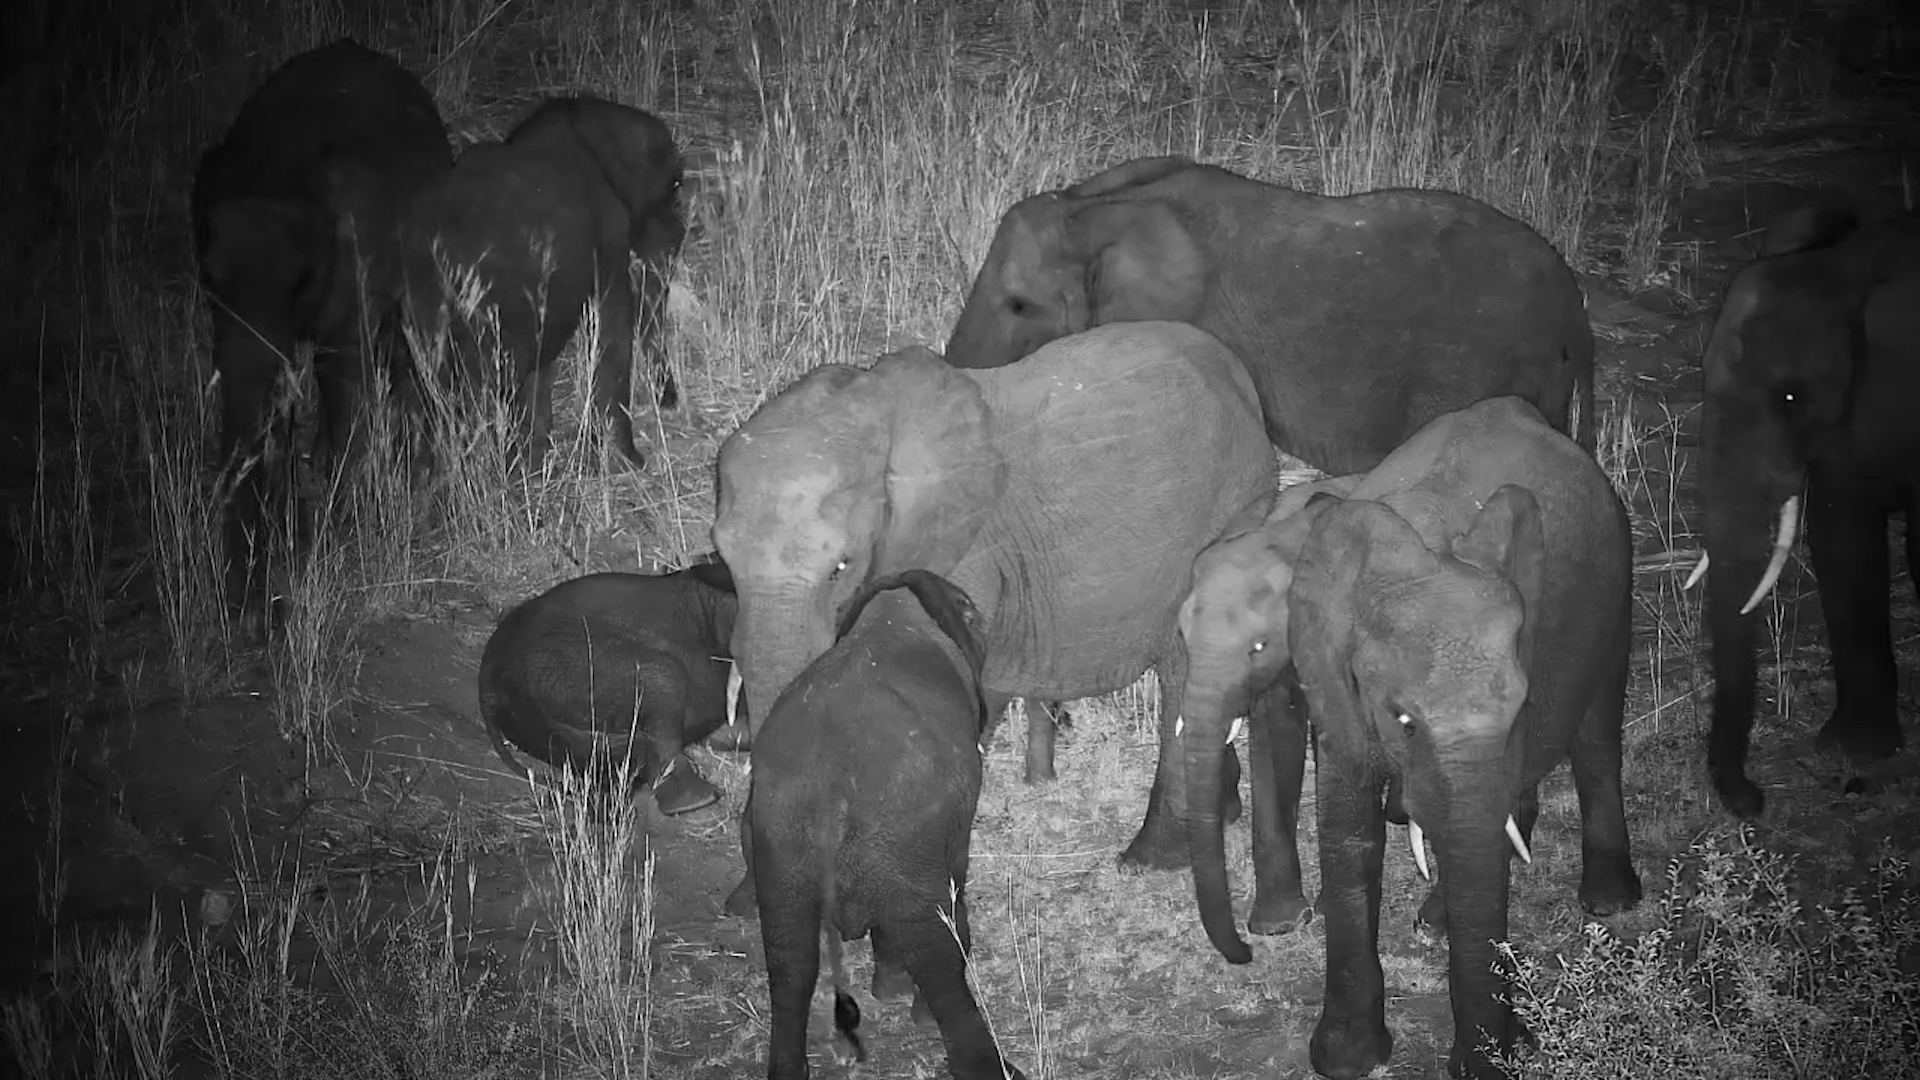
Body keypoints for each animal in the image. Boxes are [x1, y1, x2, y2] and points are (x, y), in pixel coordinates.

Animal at [192, 38, 453, 616]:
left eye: (300, 281)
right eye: (209, 279)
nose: (258, 613)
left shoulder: (360, 260)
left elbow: (346, 376)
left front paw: (328, 531)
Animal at [401, 96, 683, 470]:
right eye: (674, 187)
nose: (678, 229)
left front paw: (537, 454)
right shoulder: (609, 240)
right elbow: (612, 336)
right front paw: (627, 458)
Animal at [713, 320, 1276, 909]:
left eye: (840, 567)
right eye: (721, 558)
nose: (740, 901)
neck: (880, 409)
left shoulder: (966, 551)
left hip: (1232, 509)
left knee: (1183, 673)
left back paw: (1148, 860)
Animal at [747, 569, 1025, 1080]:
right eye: (970, 611)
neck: (891, 615)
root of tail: (829, 793)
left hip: (779, 848)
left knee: (789, 961)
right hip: (904, 846)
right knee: (937, 958)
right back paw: (980, 1057)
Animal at [1176, 397, 1641, 1080]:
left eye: (1258, 644)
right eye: (1402, 718)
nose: (1240, 955)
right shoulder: (1331, 663)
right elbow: (1345, 828)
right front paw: (1345, 1054)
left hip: (1617, 573)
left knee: (1597, 733)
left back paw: (1603, 904)